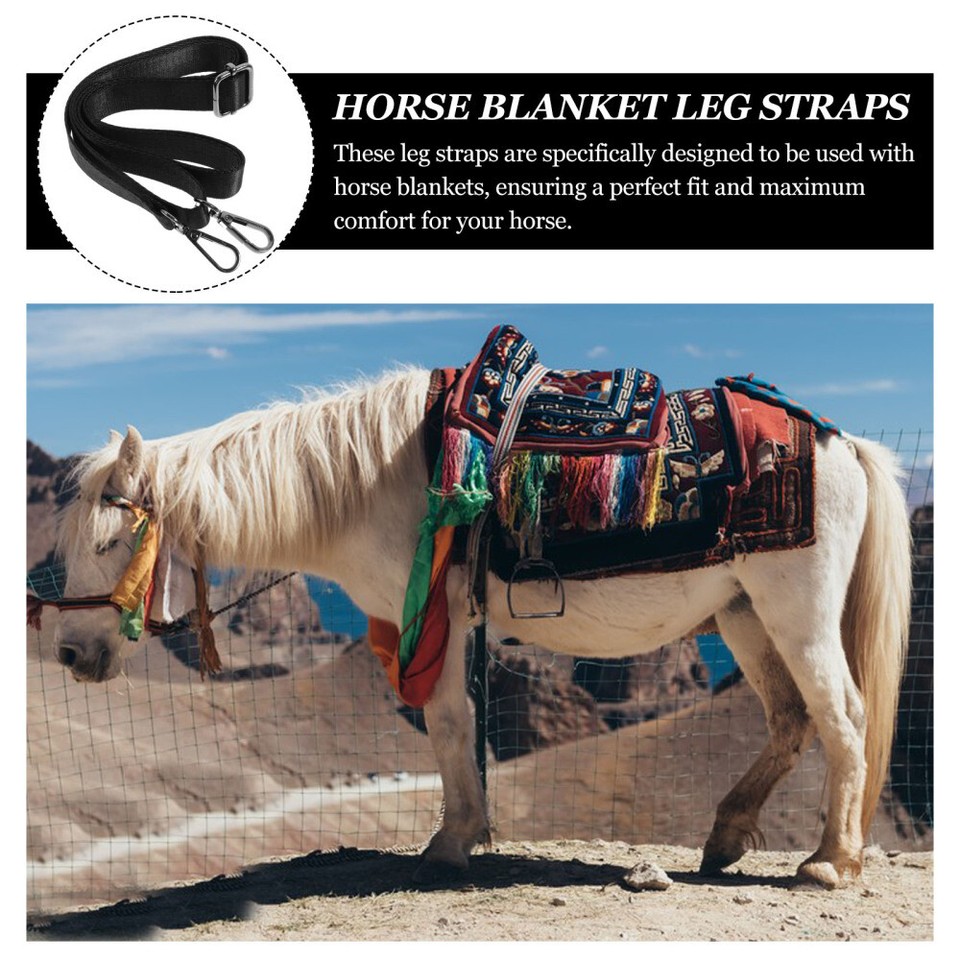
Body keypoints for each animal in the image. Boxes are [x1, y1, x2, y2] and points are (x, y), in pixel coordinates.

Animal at [52, 365, 912, 890]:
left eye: (109, 542)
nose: (67, 651)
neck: (373, 482)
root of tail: (838, 440)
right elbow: (462, 725)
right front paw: (466, 833)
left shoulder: (434, 616)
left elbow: (447, 724)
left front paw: (450, 842)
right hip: (742, 614)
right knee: (792, 718)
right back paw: (728, 836)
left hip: (795, 610)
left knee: (844, 717)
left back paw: (830, 861)